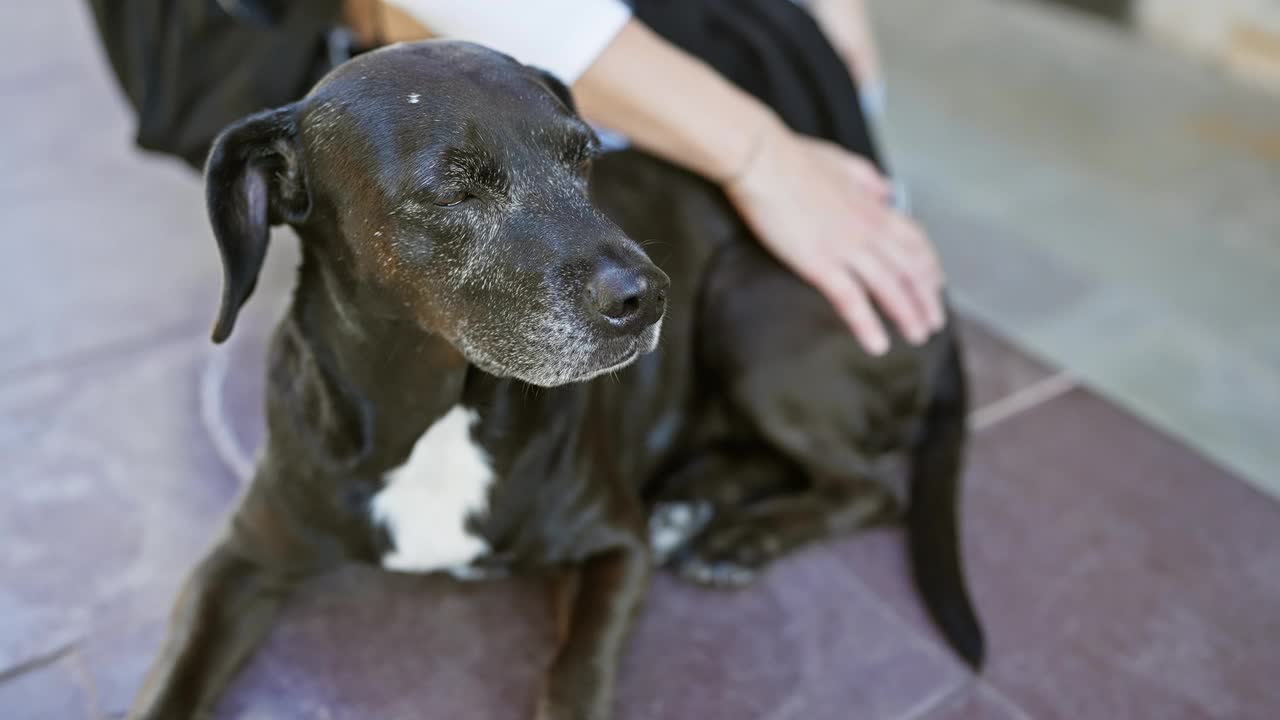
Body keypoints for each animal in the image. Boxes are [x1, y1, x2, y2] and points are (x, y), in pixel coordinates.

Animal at [127, 40, 977, 717]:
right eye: (454, 190)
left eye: (583, 157)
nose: (648, 298)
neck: (436, 413)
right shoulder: (236, 564)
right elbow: (170, 682)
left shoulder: (613, 550)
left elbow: (576, 668)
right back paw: (696, 502)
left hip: (745, 309)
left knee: (870, 486)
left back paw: (740, 535)